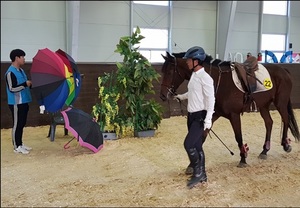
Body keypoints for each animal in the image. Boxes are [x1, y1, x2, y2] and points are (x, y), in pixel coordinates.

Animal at [161, 51, 298, 167]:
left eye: (169, 72)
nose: (162, 95)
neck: (217, 81)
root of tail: (284, 70)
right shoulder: (214, 114)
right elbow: (202, 136)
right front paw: (192, 164)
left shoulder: (234, 115)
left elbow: (239, 137)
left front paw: (243, 158)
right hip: (263, 105)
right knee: (269, 123)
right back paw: (265, 150)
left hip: (280, 103)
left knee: (285, 119)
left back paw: (286, 145)